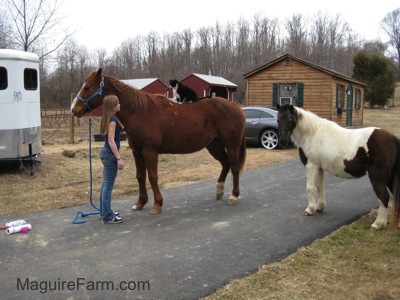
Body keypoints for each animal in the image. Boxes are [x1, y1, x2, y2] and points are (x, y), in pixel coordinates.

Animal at [72, 68, 247, 213]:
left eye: (87, 88)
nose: (74, 109)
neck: (140, 113)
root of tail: (236, 107)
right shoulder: (137, 152)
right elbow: (140, 176)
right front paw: (140, 202)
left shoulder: (150, 152)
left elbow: (152, 176)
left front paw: (157, 204)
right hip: (214, 145)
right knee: (225, 164)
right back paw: (219, 191)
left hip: (231, 144)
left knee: (234, 166)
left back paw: (233, 195)